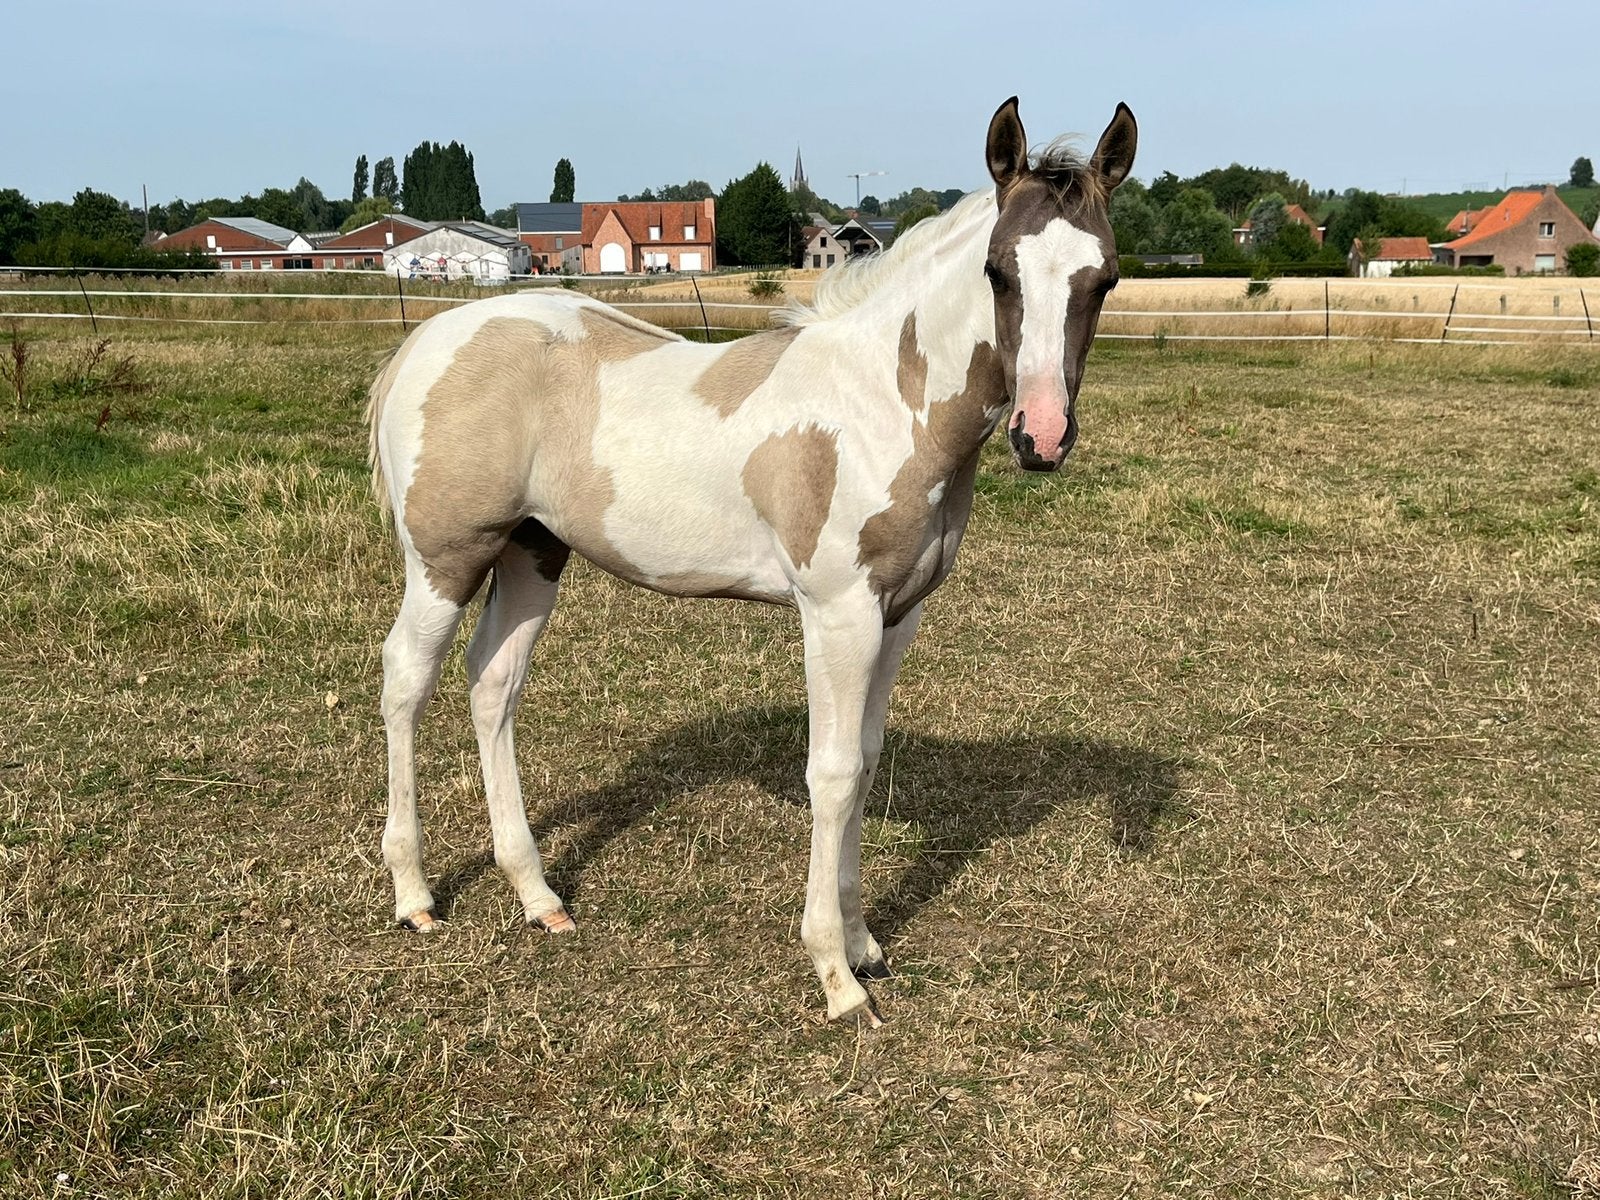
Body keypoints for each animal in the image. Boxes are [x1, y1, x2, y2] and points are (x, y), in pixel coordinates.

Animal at [367, 97, 1137, 1024]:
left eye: (1106, 278)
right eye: (997, 271)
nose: (1042, 436)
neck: (881, 400)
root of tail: (427, 341)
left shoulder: (898, 613)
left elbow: (867, 761)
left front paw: (866, 943)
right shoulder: (837, 612)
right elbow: (832, 774)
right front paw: (837, 977)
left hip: (531, 554)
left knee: (492, 684)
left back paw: (537, 895)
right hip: (446, 559)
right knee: (405, 681)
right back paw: (413, 894)